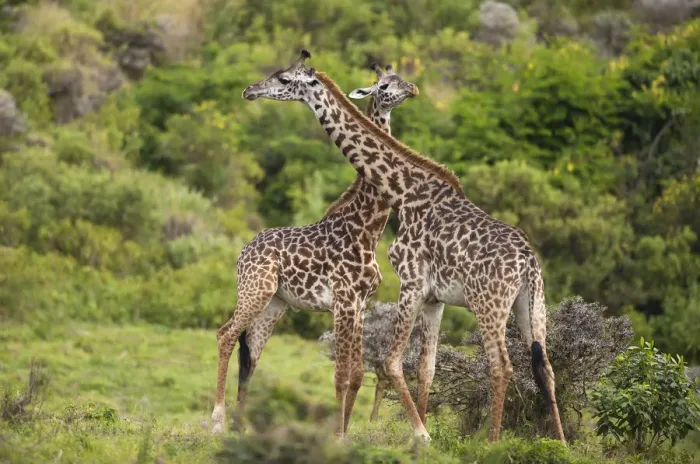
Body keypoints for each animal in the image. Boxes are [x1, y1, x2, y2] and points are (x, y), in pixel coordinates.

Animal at [211, 61, 419, 437]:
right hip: (254, 291)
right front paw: (336, 436)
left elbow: (355, 375)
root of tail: (243, 252)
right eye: (383, 86)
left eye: (400, 80)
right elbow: (340, 375)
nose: (412, 89)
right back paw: (218, 422)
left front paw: (344, 434)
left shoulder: (360, 304)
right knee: (225, 335)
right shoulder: (342, 301)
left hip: (274, 305)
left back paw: (241, 428)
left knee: (251, 355)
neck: (366, 229)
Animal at [241, 50, 566, 445]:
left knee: (501, 366)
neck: (404, 193)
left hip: (488, 303)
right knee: (545, 367)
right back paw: (562, 444)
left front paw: (421, 436)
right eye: (385, 83)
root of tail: (528, 261)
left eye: (285, 79)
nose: (249, 90)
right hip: (531, 305)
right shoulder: (433, 298)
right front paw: (422, 434)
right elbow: (426, 367)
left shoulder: (410, 282)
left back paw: (492, 443)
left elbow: (391, 362)